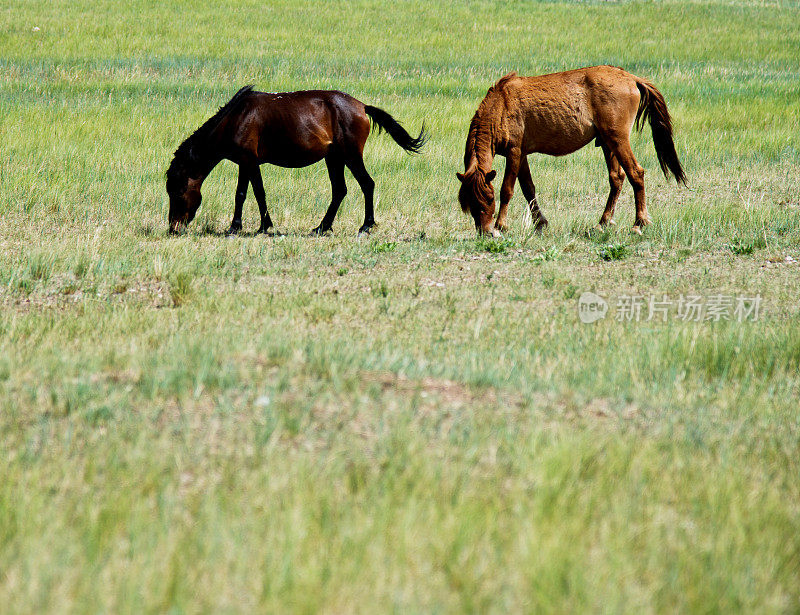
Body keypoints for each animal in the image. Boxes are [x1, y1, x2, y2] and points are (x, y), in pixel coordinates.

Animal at [166, 88, 428, 237]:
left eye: (177, 192)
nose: (173, 228)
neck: (235, 118)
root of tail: (362, 106)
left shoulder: (246, 160)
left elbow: (243, 193)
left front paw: (236, 227)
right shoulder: (251, 163)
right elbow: (257, 192)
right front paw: (264, 226)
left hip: (351, 156)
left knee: (367, 184)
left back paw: (365, 226)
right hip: (334, 158)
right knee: (339, 191)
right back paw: (322, 227)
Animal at [456, 67, 688, 236]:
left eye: (489, 199)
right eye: (469, 204)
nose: (485, 232)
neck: (502, 105)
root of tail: (631, 78)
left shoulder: (514, 153)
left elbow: (507, 190)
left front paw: (501, 225)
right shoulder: (522, 156)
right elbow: (528, 189)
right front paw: (540, 223)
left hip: (618, 140)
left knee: (635, 173)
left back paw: (639, 222)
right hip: (608, 144)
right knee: (617, 178)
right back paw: (602, 222)